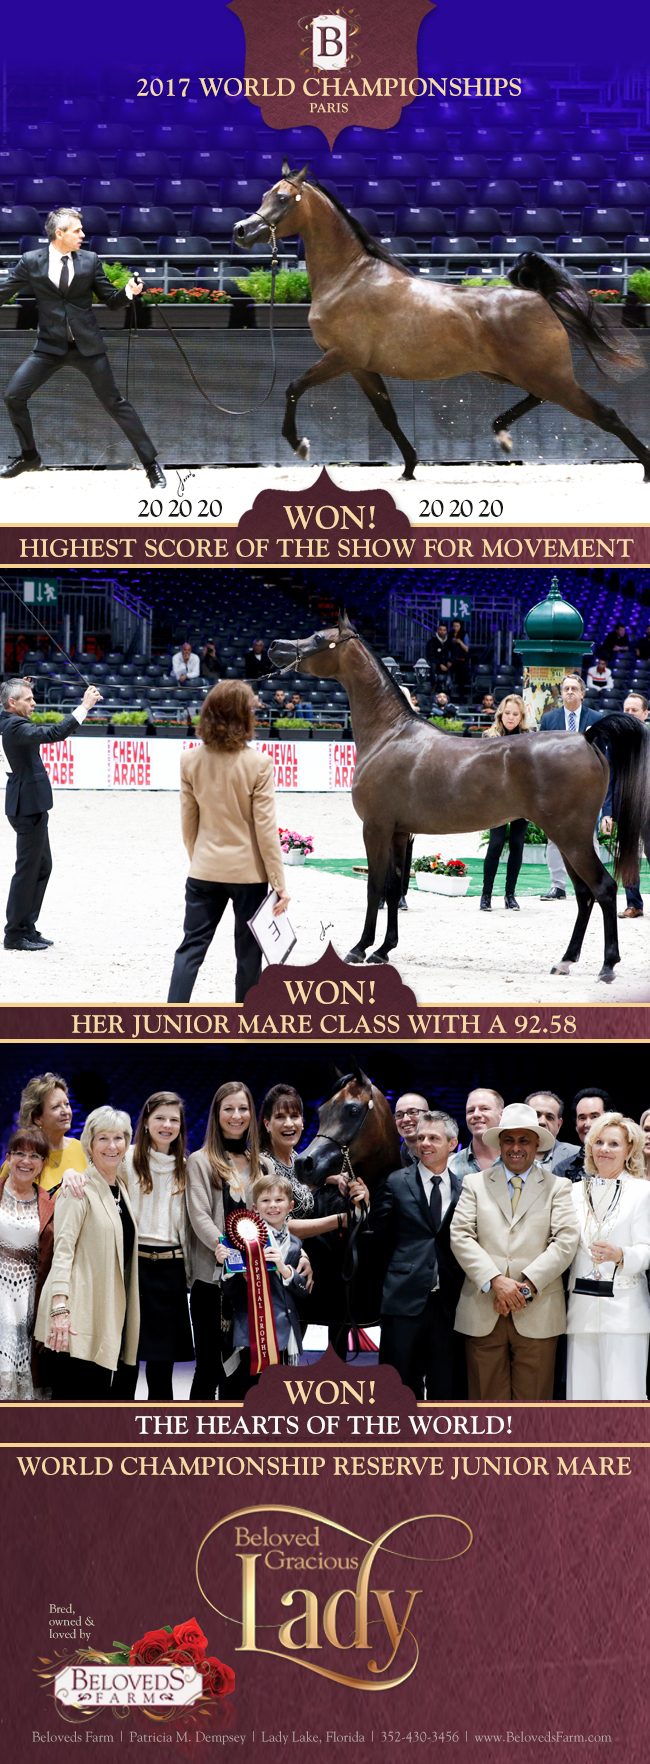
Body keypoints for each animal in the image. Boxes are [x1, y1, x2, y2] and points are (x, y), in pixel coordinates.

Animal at [233, 163, 650, 481]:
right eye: (266, 194)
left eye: (282, 198)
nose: (240, 231)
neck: (349, 278)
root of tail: (538, 297)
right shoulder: (362, 367)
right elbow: (387, 416)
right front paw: (409, 469)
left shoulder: (341, 358)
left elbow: (292, 388)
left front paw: (299, 445)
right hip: (516, 373)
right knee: (541, 398)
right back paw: (501, 432)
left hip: (546, 375)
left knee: (606, 415)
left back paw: (644, 469)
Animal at [269, 615, 650, 983]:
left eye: (319, 638)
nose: (275, 646)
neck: (388, 735)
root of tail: (586, 738)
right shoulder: (397, 832)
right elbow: (393, 888)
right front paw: (383, 950)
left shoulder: (375, 828)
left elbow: (374, 887)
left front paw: (360, 948)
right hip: (568, 839)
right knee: (585, 895)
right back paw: (565, 961)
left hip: (571, 837)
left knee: (604, 888)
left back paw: (607, 966)